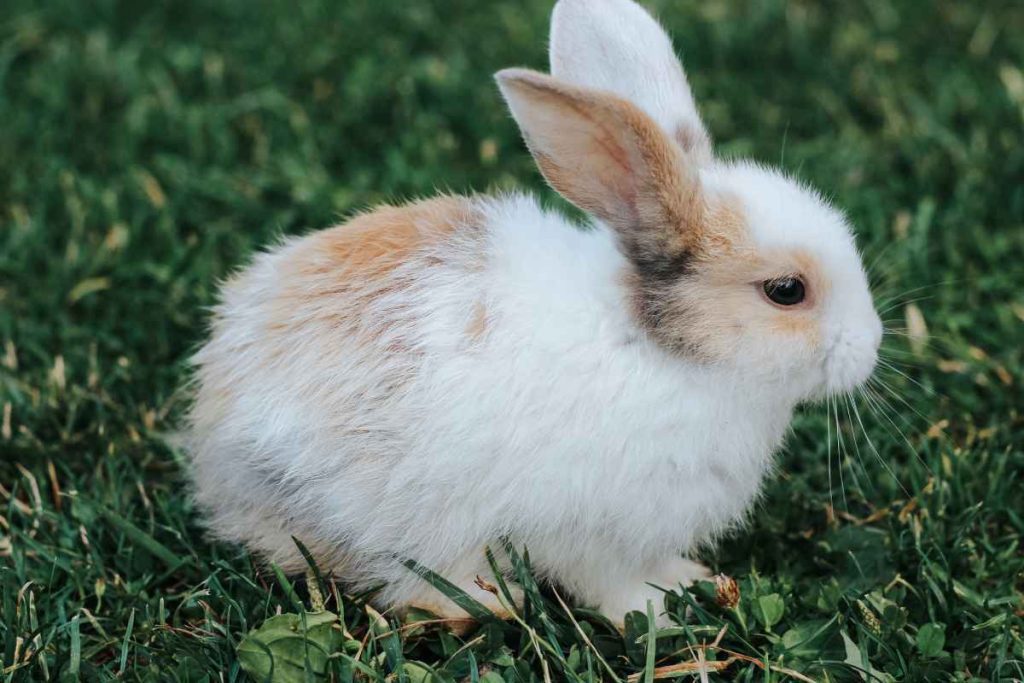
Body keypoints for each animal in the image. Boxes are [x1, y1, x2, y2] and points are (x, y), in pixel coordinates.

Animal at [186, 0, 882, 627]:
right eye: (787, 290)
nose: (871, 347)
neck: (661, 348)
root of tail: (212, 433)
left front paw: (690, 579)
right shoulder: (589, 531)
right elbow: (609, 583)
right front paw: (656, 613)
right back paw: (492, 602)